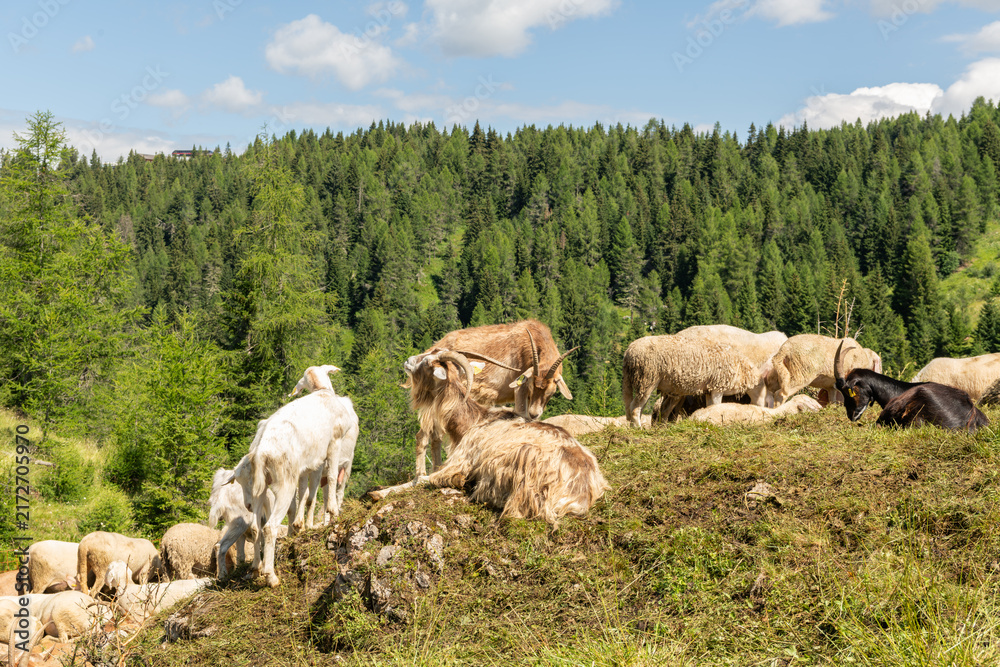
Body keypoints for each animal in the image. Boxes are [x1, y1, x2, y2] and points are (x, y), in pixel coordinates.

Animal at [372, 351, 609, 526]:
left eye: (427, 361)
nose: (408, 361)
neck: (474, 421)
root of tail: (582, 494)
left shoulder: (461, 461)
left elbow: (426, 478)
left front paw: (378, 493)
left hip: (526, 459)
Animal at [407, 319, 579, 477]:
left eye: (551, 391)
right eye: (530, 385)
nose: (534, 413)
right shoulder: (520, 388)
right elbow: (522, 414)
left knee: (435, 436)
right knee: (423, 436)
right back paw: (420, 474)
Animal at [621, 334, 762, 427]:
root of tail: (629, 352)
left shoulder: (708, 390)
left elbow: (710, 407)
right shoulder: (717, 387)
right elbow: (716, 406)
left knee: (641, 408)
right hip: (647, 378)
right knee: (635, 407)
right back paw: (638, 428)